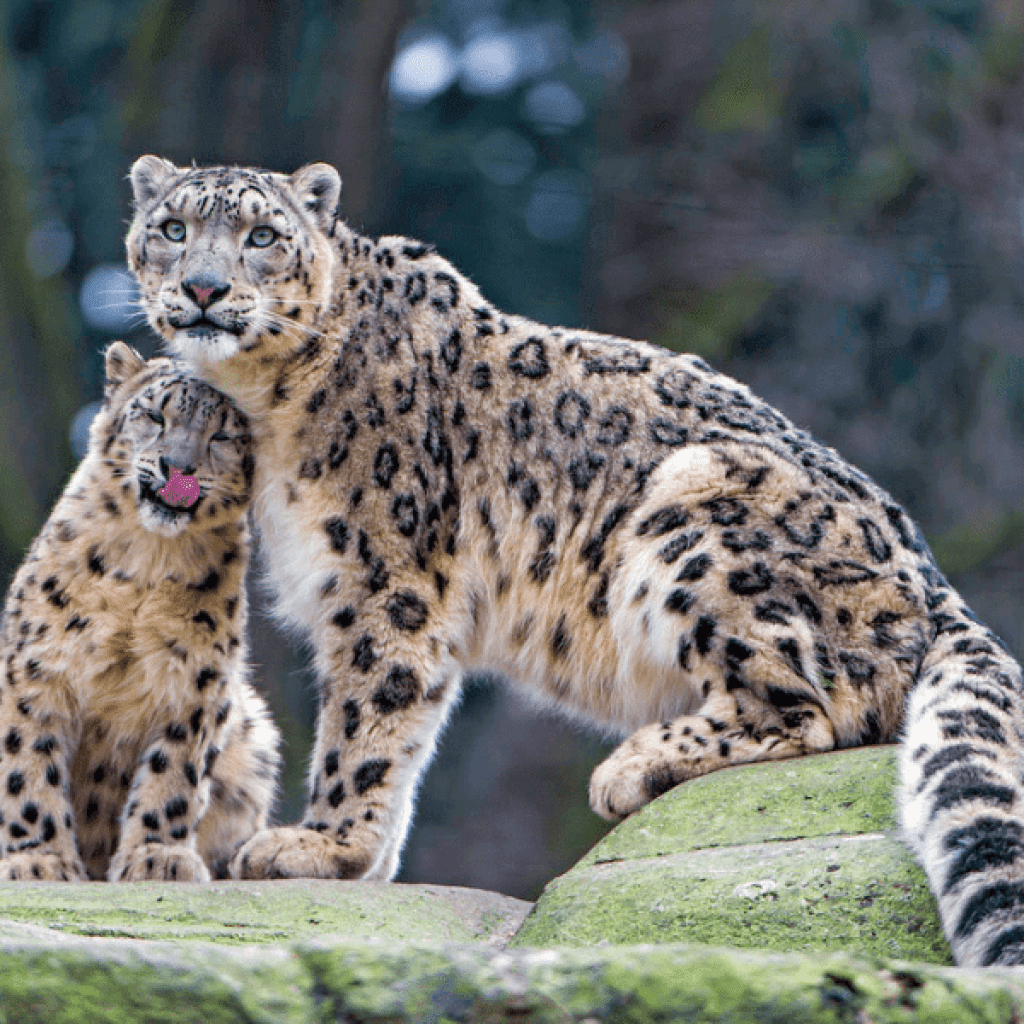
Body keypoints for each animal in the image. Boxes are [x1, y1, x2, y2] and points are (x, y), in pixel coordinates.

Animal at [0, 342, 280, 880]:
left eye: (223, 435)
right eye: (153, 415)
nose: (179, 467)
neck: (150, 560)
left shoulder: (194, 682)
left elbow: (172, 775)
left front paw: (158, 857)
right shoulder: (38, 669)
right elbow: (29, 766)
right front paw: (39, 859)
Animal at [125, 153, 1024, 966]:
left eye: (262, 235)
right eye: (172, 230)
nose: (203, 288)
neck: (264, 402)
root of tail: (938, 583)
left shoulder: (388, 577)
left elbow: (369, 715)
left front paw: (320, 846)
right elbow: (406, 729)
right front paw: (365, 863)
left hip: (694, 510)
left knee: (814, 703)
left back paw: (635, 765)